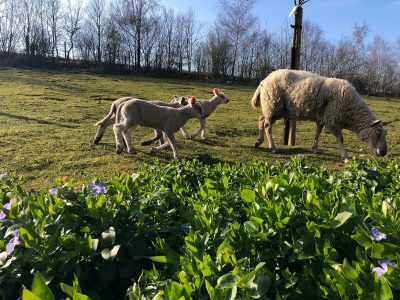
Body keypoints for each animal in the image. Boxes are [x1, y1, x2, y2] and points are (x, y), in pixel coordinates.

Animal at [252, 69, 390, 162]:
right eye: (378, 132)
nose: (384, 153)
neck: (351, 111)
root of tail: (263, 81)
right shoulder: (332, 120)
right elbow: (340, 138)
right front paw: (345, 156)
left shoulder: (322, 118)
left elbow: (318, 131)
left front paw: (315, 148)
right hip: (273, 106)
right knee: (267, 125)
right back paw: (273, 147)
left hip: (273, 108)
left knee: (261, 119)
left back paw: (259, 141)